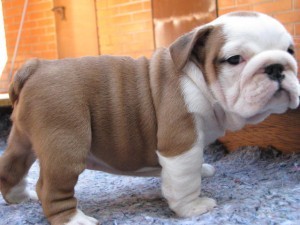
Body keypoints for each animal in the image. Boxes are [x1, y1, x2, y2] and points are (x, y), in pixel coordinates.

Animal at [0, 11, 300, 224]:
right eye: (234, 59)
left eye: (290, 51)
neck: (197, 76)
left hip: (23, 139)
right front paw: (192, 208)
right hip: (66, 145)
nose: (276, 66)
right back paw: (74, 220)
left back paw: (18, 197)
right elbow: (185, 178)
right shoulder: (181, 143)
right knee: (50, 190)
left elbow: (188, 168)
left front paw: (202, 170)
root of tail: (37, 67)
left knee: (12, 166)